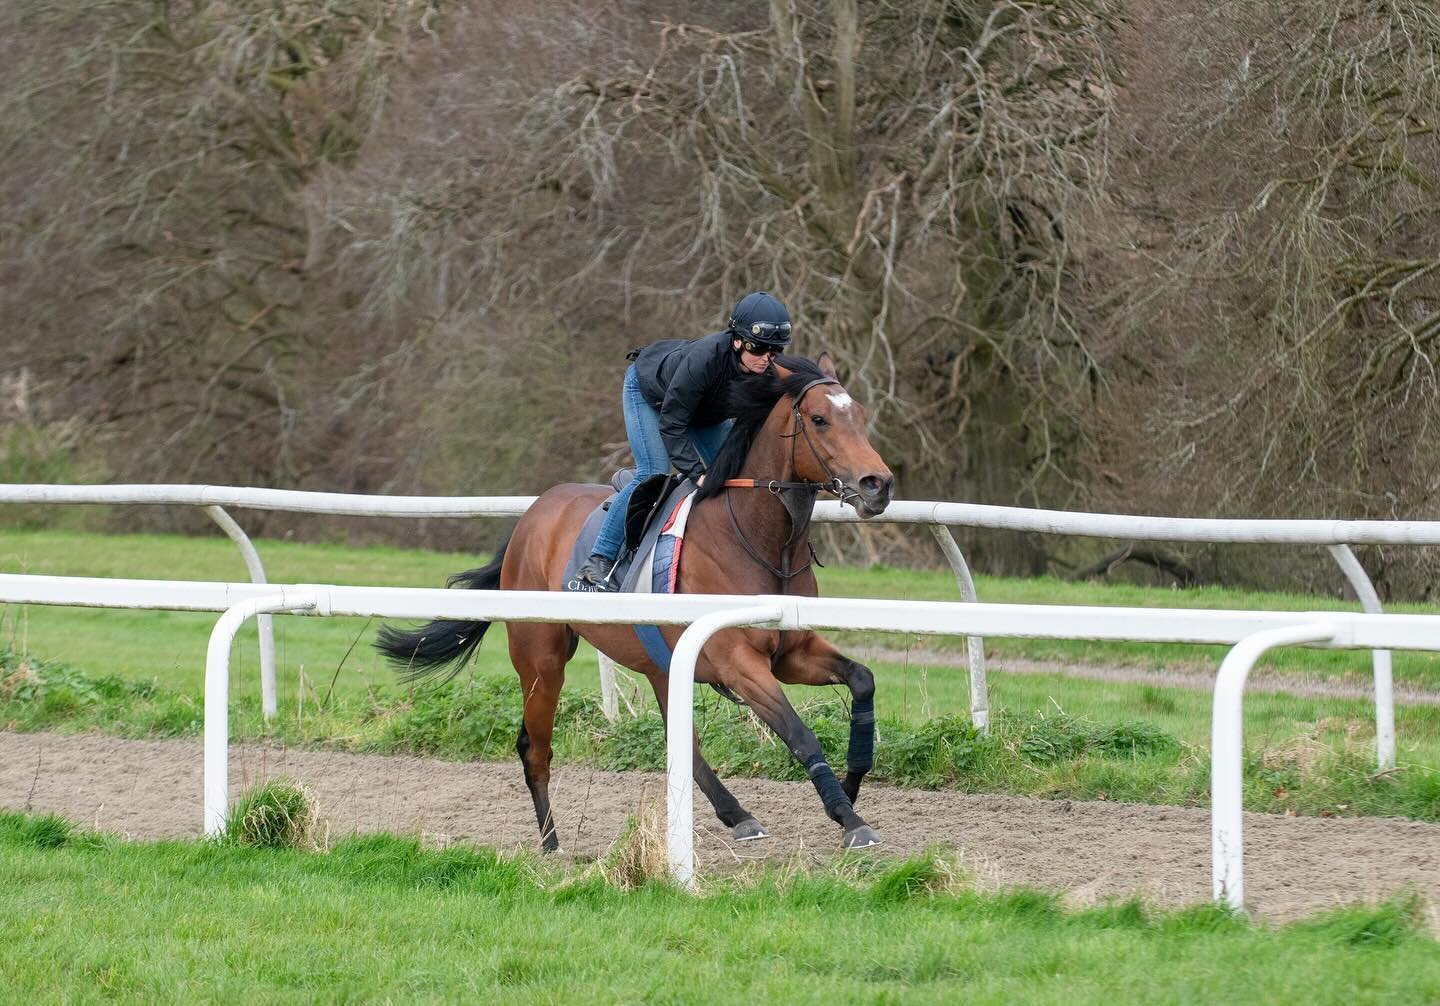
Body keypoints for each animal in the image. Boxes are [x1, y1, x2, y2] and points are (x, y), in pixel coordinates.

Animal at [377, 354, 892, 852]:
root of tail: (532, 515)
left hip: (660, 664)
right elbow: (800, 733)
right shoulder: (738, 663)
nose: (877, 484)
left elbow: (862, 680)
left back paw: (738, 816)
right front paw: (850, 819)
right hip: (541, 658)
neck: (759, 539)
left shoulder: (790, 651)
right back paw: (550, 842)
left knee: (683, 745)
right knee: (534, 746)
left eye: (860, 415)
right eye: (820, 419)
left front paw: (851, 786)